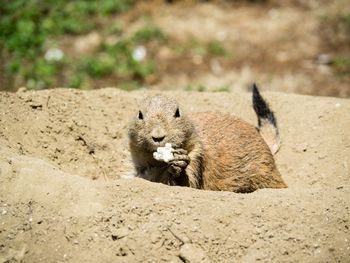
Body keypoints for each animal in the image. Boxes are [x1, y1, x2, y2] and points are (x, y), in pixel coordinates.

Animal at [129, 84, 288, 194]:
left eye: (177, 112)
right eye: (140, 114)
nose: (158, 136)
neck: (157, 163)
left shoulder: (197, 155)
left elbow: (189, 184)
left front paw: (178, 164)